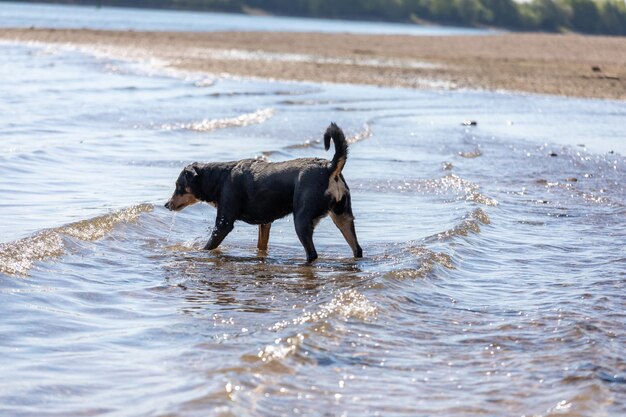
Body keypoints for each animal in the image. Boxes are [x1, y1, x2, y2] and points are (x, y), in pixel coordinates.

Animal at [163, 122, 364, 262]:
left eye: (178, 185)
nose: (166, 205)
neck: (219, 178)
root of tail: (330, 168)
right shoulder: (265, 223)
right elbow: (261, 246)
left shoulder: (223, 223)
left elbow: (208, 246)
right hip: (343, 217)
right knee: (357, 249)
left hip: (302, 219)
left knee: (312, 253)